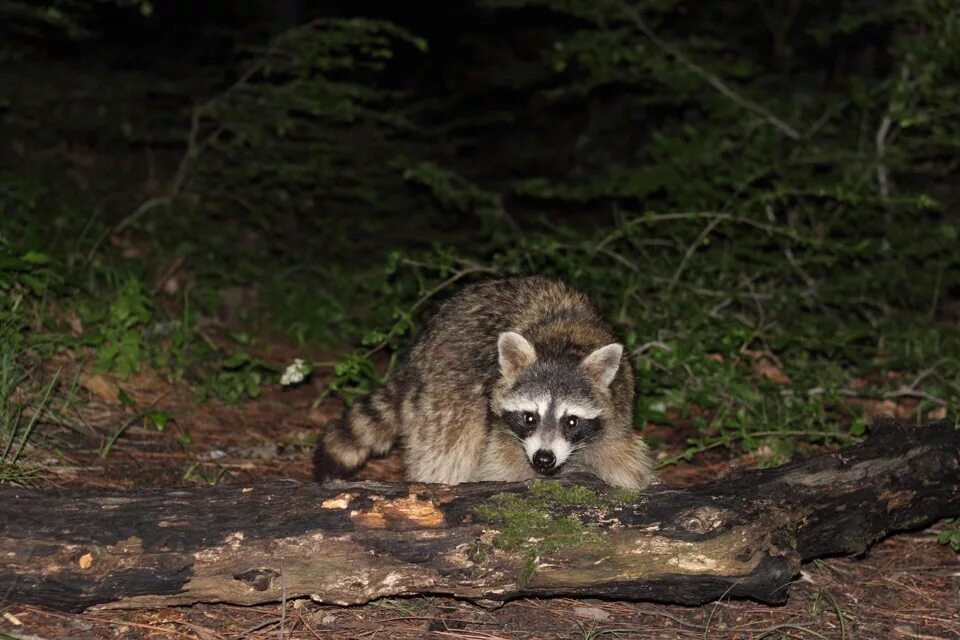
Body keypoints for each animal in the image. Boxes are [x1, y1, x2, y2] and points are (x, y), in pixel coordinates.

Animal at [312, 276, 656, 490]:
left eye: (571, 421)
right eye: (529, 417)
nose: (543, 459)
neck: (563, 345)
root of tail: (415, 356)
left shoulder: (619, 405)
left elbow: (621, 457)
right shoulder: (500, 429)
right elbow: (500, 467)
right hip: (445, 389)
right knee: (448, 448)